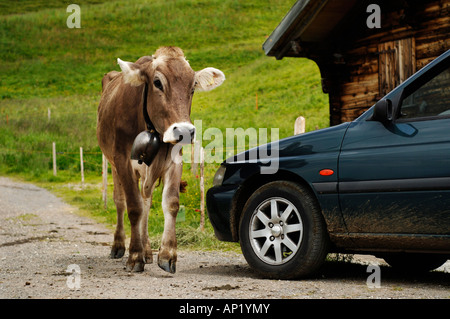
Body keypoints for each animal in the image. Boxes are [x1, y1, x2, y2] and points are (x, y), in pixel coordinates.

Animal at [98, 46, 225, 274]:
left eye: (193, 86)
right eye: (157, 83)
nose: (184, 131)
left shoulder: (174, 162)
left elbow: (170, 203)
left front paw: (167, 255)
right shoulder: (122, 161)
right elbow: (133, 207)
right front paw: (135, 256)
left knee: (146, 202)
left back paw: (148, 251)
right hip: (112, 163)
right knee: (120, 202)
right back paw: (119, 246)